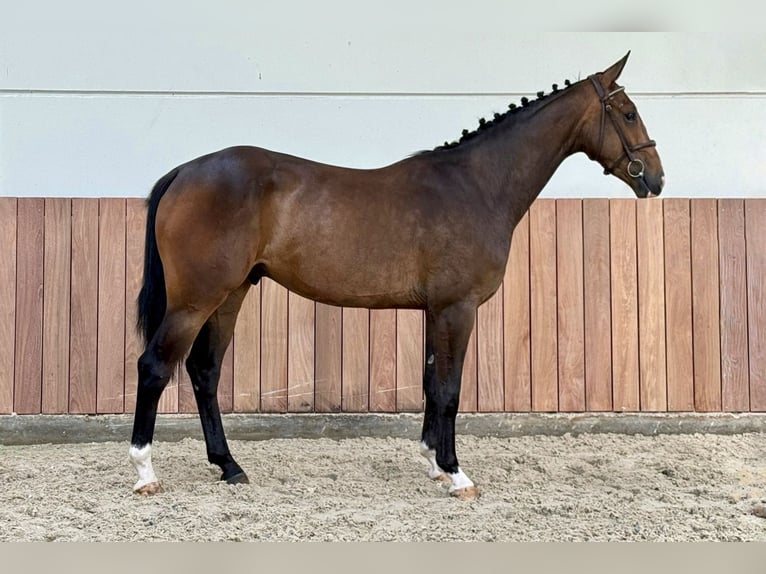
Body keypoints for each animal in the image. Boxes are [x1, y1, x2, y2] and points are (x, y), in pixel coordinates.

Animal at [128, 52, 664, 500]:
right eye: (629, 113)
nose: (656, 179)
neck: (477, 184)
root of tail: (185, 171)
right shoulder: (457, 309)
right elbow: (449, 390)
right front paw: (457, 475)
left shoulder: (435, 311)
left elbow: (431, 384)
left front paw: (433, 462)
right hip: (195, 300)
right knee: (155, 367)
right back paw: (145, 472)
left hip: (231, 294)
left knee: (204, 371)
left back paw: (229, 465)